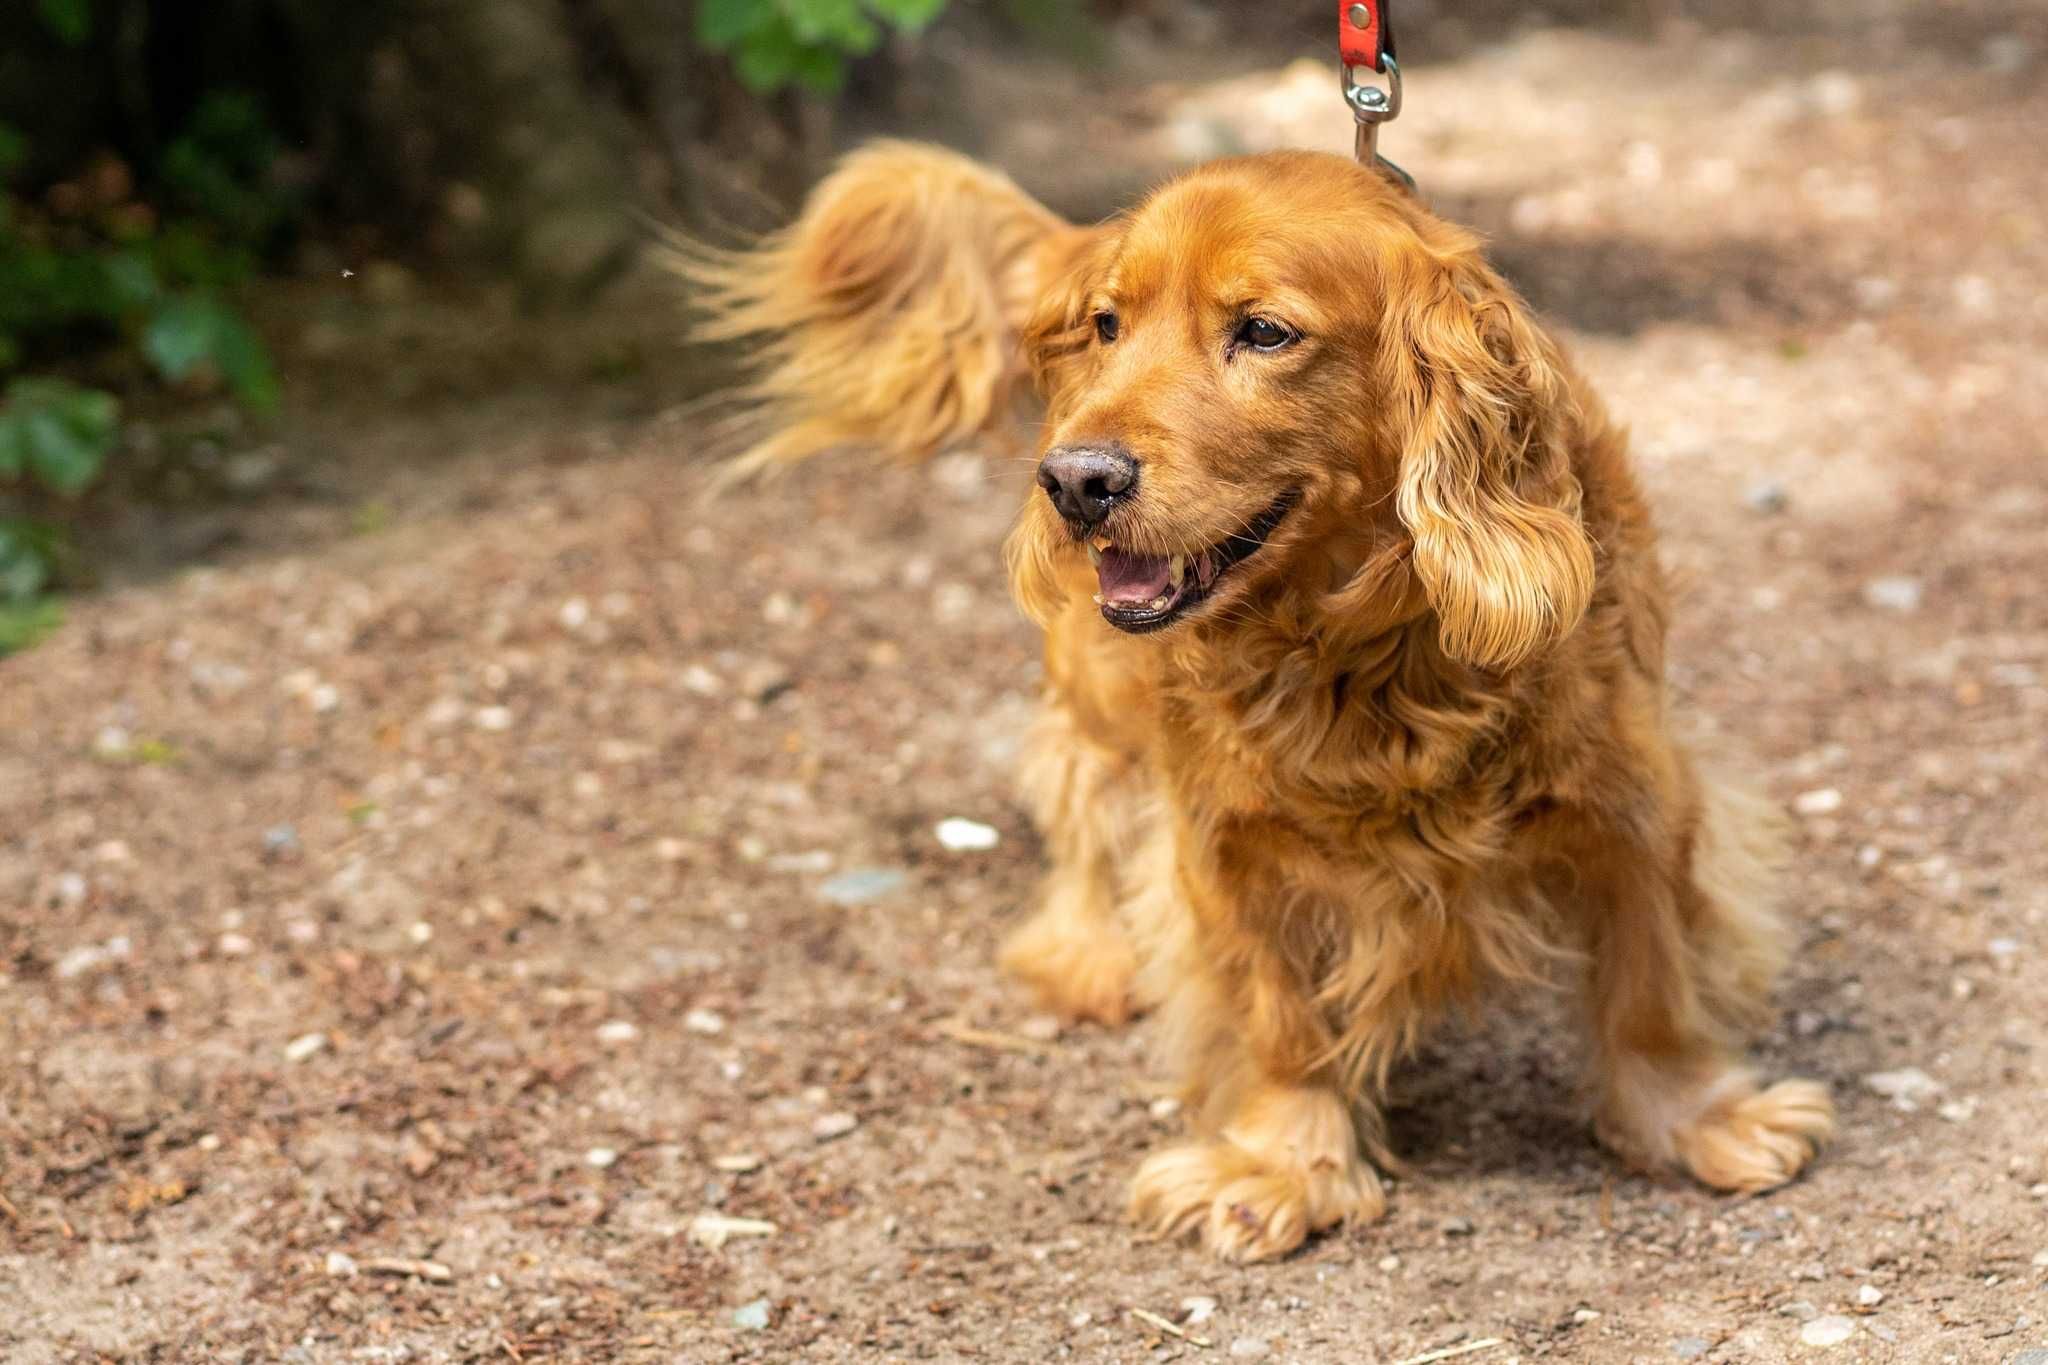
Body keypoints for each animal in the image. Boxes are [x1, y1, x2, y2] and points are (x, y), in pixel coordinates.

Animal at [675, 139, 1843, 1260]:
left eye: (1265, 333)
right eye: (1109, 326)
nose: (1075, 481)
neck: (1368, 653)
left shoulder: (1635, 796)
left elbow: (1651, 985)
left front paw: (1695, 1122)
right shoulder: (1224, 840)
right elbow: (1275, 1015)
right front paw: (1286, 1165)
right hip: (1098, 695)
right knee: (1081, 802)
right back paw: (1090, 955)